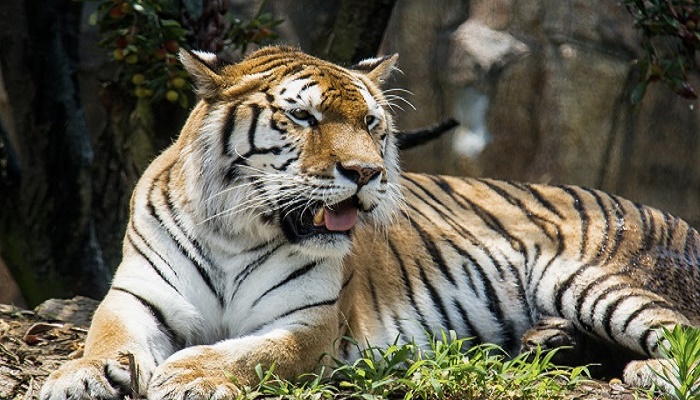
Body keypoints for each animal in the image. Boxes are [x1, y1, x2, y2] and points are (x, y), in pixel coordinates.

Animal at [40, 45, 700, 400]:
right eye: (302, 117)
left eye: (372, 124)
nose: (366, 172)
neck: (238, 231)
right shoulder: (138, 296)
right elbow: (105, 335)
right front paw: (79, 376)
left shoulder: (308, 323)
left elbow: (247, 354)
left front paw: (188, 375)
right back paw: (549, 341)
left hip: (594, 280)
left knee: (683, 332)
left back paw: (648, 370)